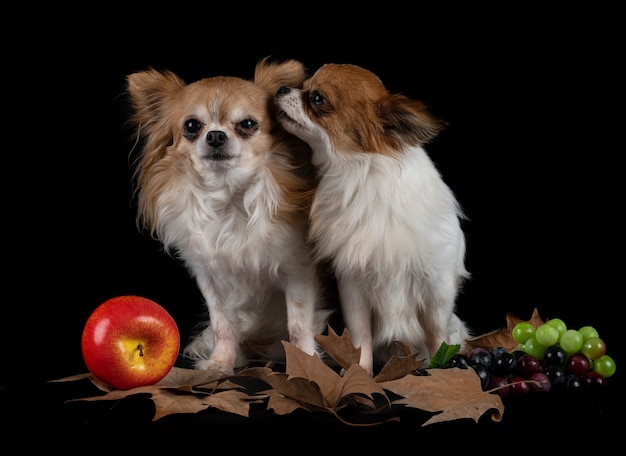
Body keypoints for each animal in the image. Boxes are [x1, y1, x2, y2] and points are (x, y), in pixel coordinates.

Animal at [128, 58, 332, 376]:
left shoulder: (297, 270)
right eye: (192, 126)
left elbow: (298, 324)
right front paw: (221, 362)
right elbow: (222, 323)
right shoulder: (211, 278)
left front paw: (306, 362)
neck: (229, 197)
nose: (215, 135)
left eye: (248, 124)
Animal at [272, 63, 468, 374]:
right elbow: (360, 334)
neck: (360, 174)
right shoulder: (353, 286)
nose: (281, 89)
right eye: (304, 84)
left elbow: (436, 331)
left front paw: (442, 367)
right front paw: (360, 371)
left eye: (316, 98)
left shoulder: (437, 286)